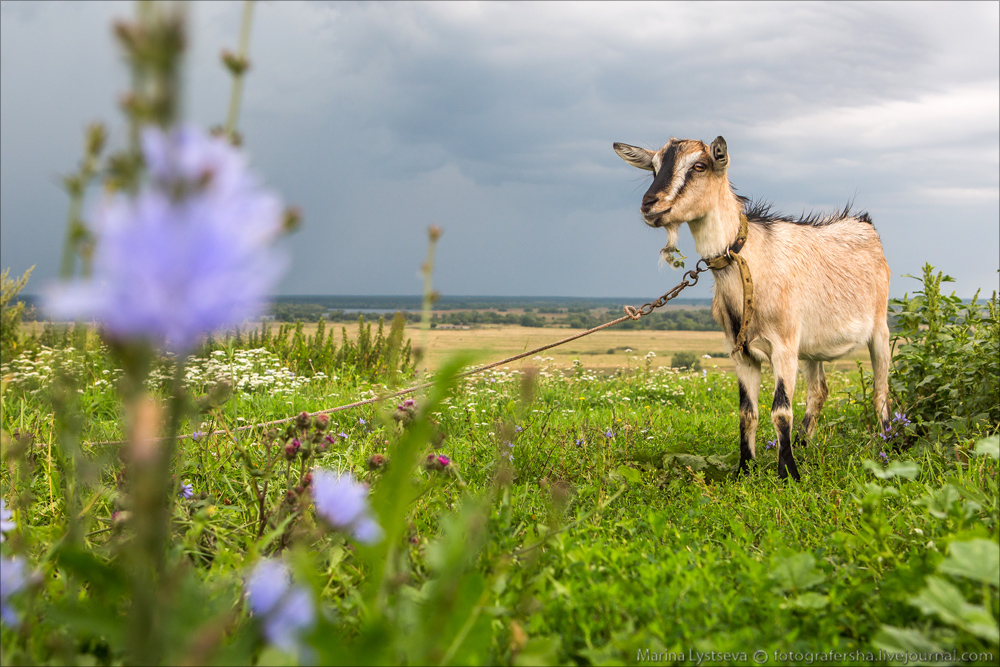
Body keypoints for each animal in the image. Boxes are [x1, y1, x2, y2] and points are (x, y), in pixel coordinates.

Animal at [616, 137, 892, 480]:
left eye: (699, 166)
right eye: (654, 168)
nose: (650, 205)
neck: (749, 262)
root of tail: (865, 225)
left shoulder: (783, 347)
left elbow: (781, 411)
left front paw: (788, 474)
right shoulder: (742, 353)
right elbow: (747, 413)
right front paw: (745, 469)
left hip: (879, 330)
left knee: (881, 391)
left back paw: (886, 446)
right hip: (811, 348)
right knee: (818, 391)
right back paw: (803, 444)